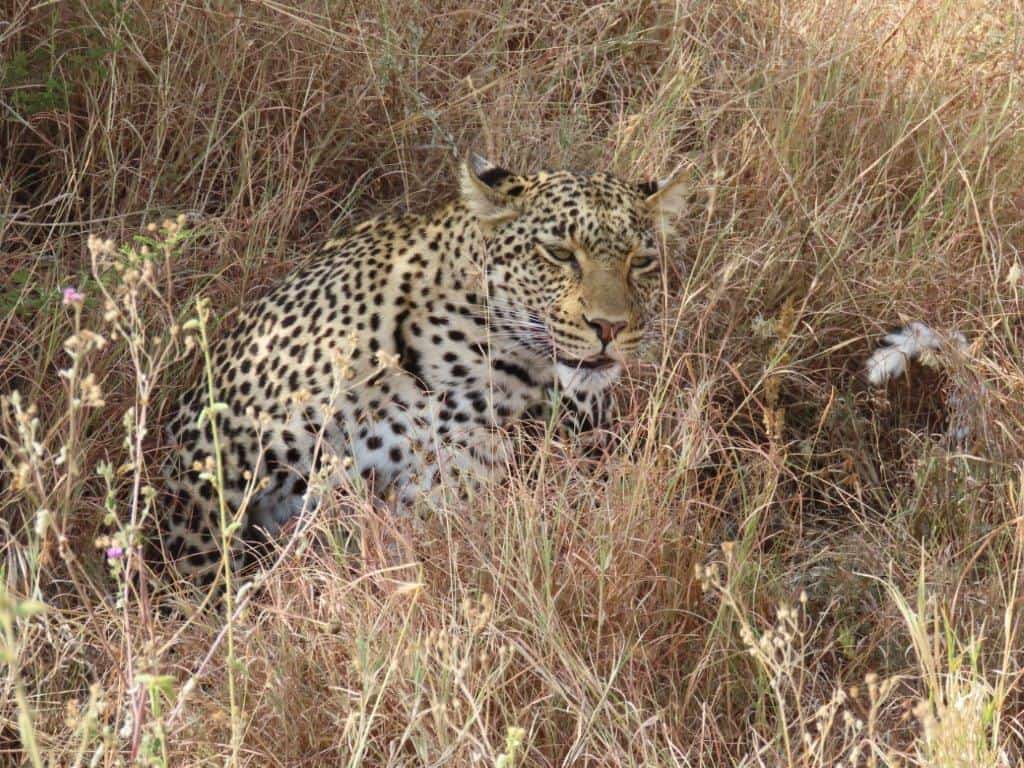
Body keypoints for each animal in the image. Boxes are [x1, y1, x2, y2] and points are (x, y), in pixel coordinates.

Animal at [158, 154, 689, 585]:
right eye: (559, 253)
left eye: (641, 262)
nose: (610, 327)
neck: (465, 357)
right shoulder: (208, 446)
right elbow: (193, 564)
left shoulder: (435, 501)